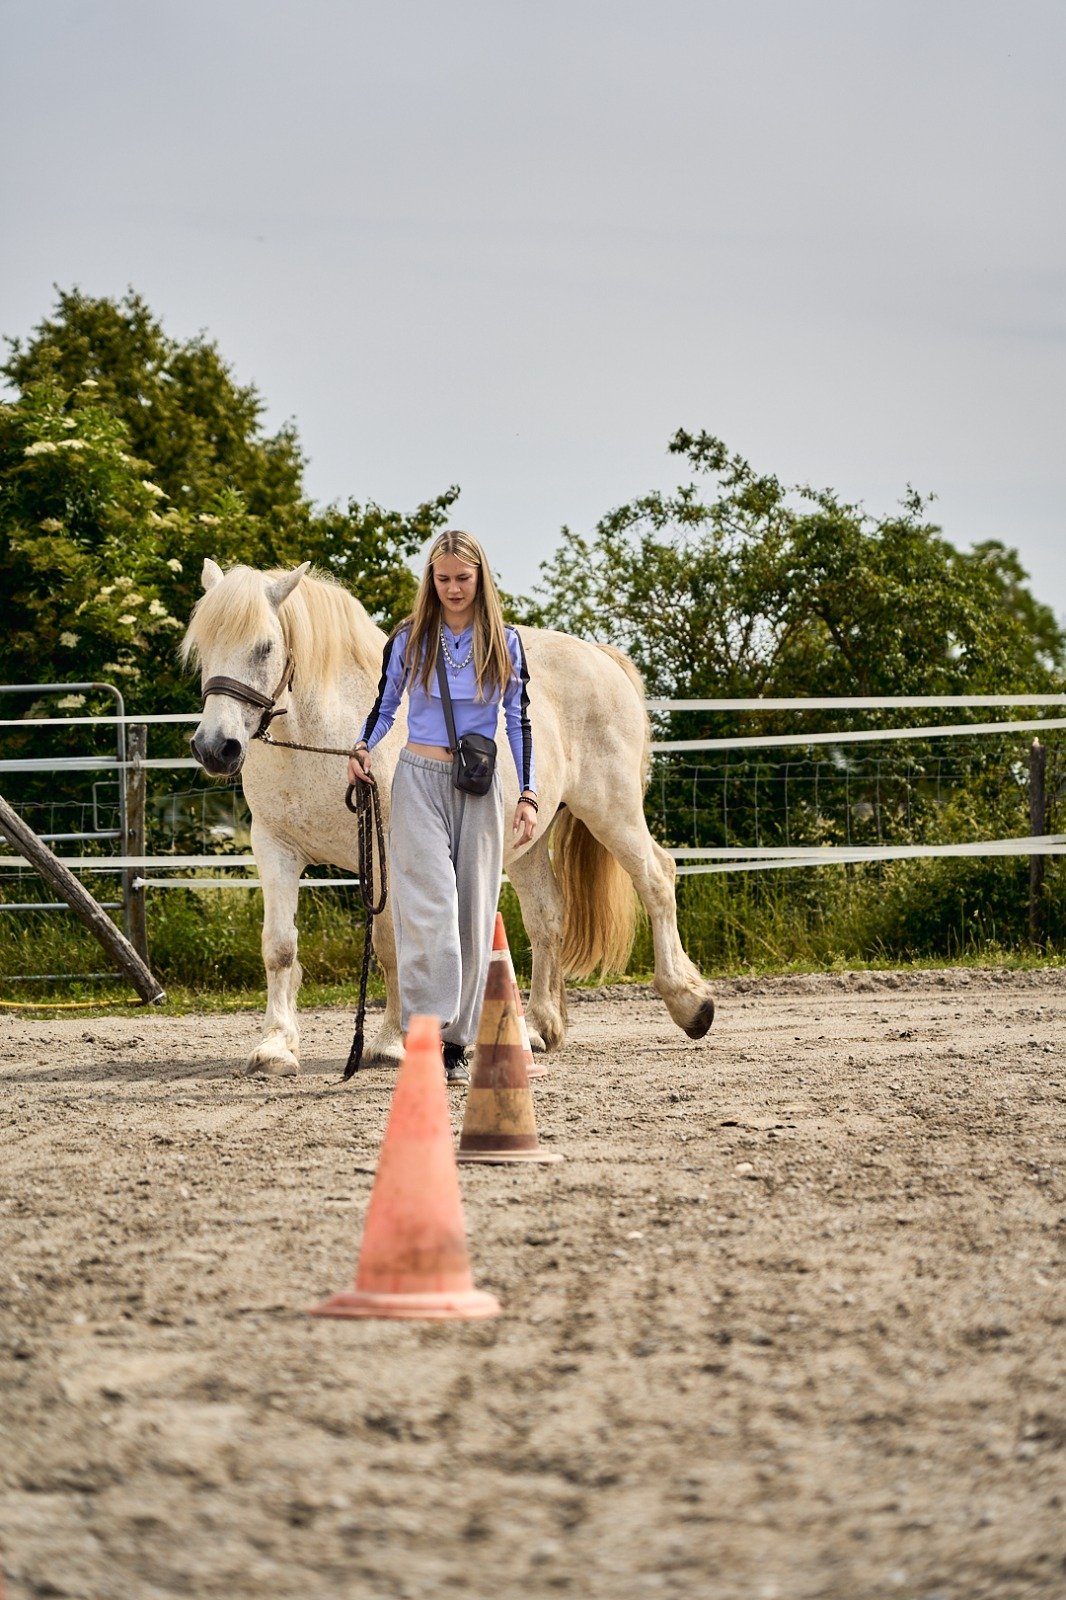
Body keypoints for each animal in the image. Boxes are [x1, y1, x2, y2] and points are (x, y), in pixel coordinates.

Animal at [182, 559, 715, 1075]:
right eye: (203, 648)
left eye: (264, 648)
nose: (215, 748)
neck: (327, 736)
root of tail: (601, 657)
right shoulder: (275, 848)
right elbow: (280, 946)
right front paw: (275, 1048)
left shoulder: (390, 855)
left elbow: (393, 947)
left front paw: (389, 1043)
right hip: (526, 839)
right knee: (547, 916)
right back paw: (539, 1028)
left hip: (612, 811)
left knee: (656, 878)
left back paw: (690, 1003)